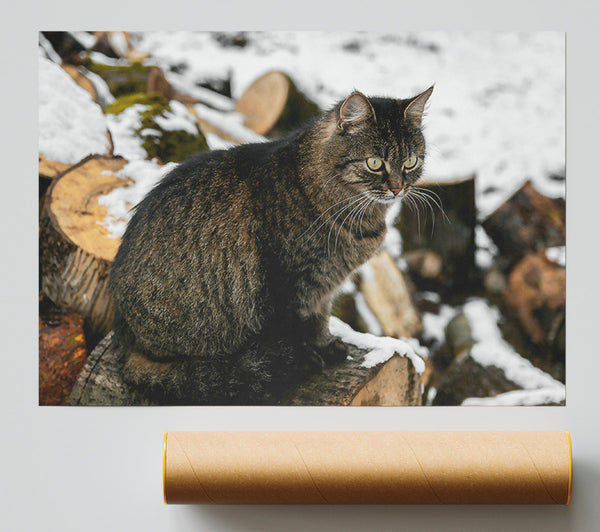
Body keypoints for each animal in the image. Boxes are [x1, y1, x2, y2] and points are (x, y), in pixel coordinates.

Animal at [109, 86, 432, 404]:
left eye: (410, 162)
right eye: (374, 163)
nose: (398, 188)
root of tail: (126, 344)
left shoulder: (324, 286)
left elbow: (320, 320)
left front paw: (325, 345)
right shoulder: (289, 285)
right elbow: (296, 329)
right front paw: (306, 356)